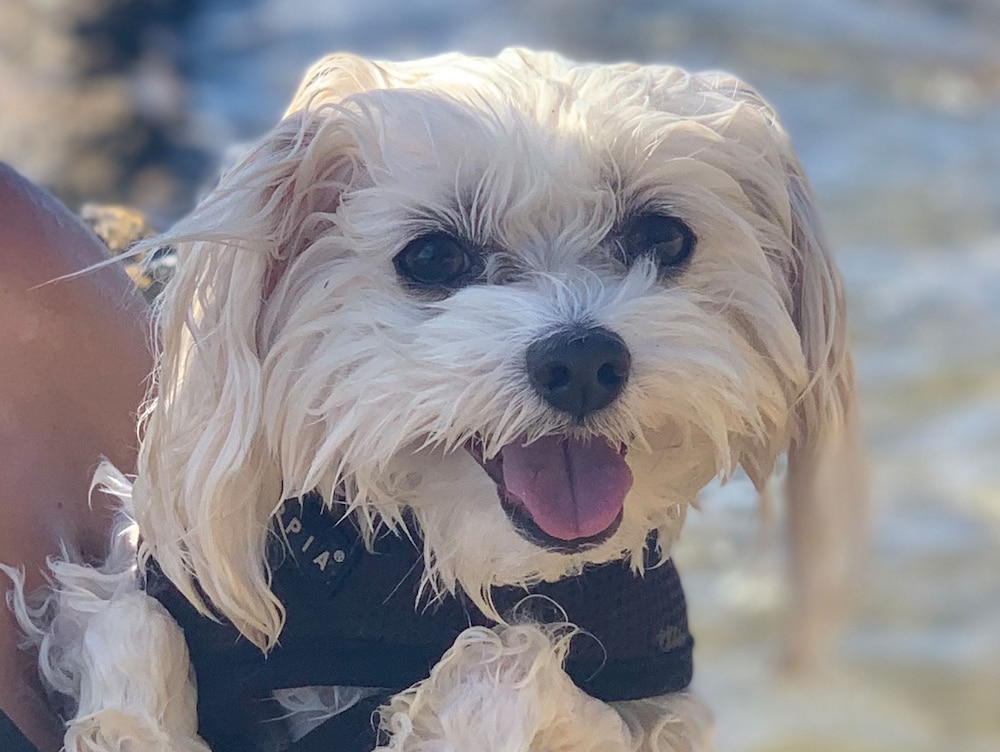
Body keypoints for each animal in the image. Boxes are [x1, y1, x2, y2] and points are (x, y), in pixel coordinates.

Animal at [5, 48, 868, 752]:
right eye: (431, 256)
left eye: (663, 237)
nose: (582, 359)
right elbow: (133, 632)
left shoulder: (650, 709)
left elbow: (511, 670)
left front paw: (447, 706)